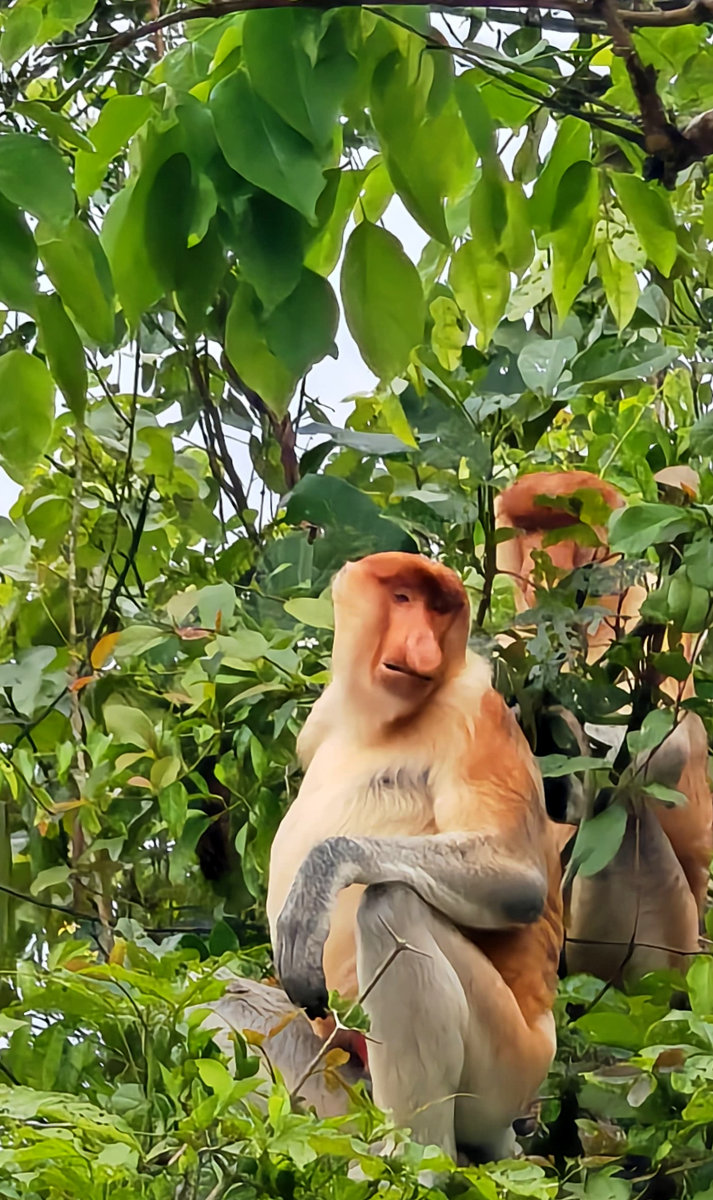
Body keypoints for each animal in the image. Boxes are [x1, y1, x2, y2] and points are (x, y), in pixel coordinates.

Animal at [266, 551, 564, 1162]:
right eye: (403, 598)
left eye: (441, 608)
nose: (424, 648)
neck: (377, 719)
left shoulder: (473, 712)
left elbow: (519, 879)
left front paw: (315, 886)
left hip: (508, 1069)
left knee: (391, 907)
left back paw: (418, 1163)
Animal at [495, 469, 712, 986]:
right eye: (528, 528)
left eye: (566, 523)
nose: (541, 567)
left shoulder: (648, 598)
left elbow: (666, 748)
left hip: (665, 943)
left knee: (624, 809)